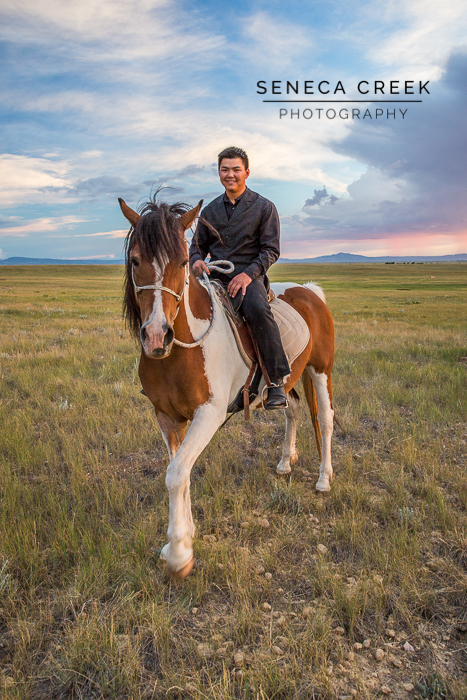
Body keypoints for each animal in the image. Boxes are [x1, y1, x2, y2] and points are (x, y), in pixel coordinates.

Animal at [119, 195, 335, 579]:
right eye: (135, 260)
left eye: (180, 262)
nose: (157, 336)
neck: (184, 347)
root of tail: (309, 291)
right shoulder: (166, 416)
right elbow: (180, 472)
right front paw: (184, 537)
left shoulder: (209, 414)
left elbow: (176, 474)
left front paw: (179, 554)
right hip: (288, 380)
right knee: (292, 408)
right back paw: (285, 462)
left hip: (320, 371)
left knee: (324, 419)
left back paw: (324, 480)